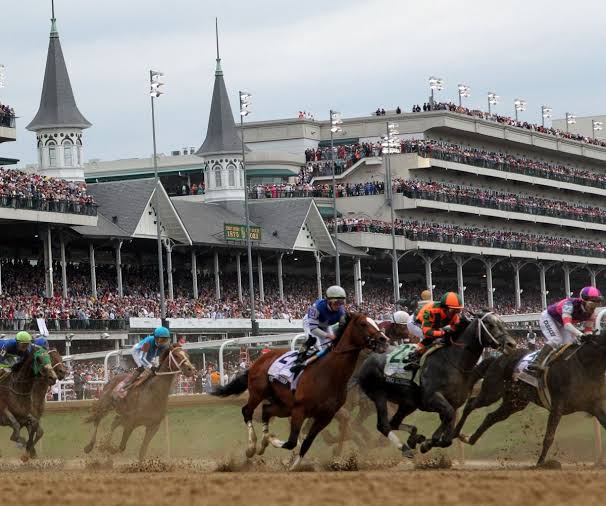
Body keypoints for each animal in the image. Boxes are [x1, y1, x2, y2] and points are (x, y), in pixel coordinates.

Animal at [214, 312, 390, 470]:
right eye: (363, 323)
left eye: (375, 323)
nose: (384, 340)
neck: (328, 373)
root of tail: (258, 360)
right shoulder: (300, 410)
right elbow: (292, 441)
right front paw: (277, 445)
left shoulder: (325, 416)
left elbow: (307, 443)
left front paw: (294, 465)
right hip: (258, 393)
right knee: (247, 411)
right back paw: (251, 447)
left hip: (283, 406)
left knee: (266, 411)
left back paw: (263, 442)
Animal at [358, 310, 516, 456]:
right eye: (490, 324)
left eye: (502, 323)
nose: (512, 344)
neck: (454, 362)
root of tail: (368, 359)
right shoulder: (432, 399)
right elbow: (447, 423)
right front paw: (429, 442)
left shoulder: (453, 404)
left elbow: (448, 434)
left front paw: (427, 442)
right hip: (379, 395)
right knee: (383, 425)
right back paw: (405, 448)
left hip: (408, 403)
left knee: (394, 423)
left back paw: (414, 438)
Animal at [454, 328, 606, 466]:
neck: (584, 365)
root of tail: (497, 358)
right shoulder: (557, 406)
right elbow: (549, 436)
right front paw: (540, 463)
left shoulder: (594, 406)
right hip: (491, 392)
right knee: (471, 404)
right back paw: (455, 433)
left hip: (514, 402)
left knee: (491, 417)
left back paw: (469, 438)